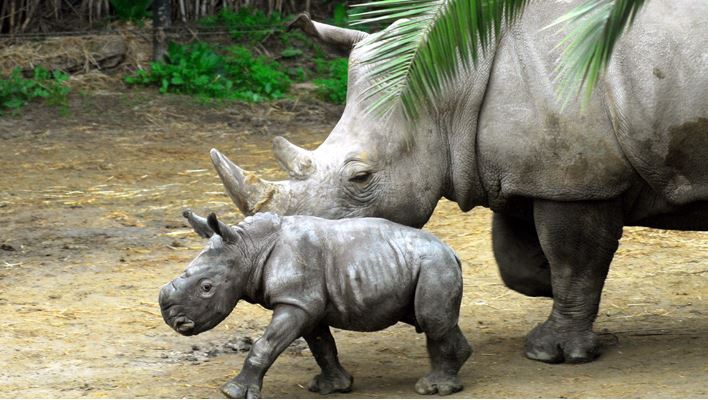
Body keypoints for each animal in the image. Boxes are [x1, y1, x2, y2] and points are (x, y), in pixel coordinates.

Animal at [160, 211, 470, 398]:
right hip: (419, 264)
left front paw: (232, 392)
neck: (249, 249)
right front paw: (332, 387)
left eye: (206, 288)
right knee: (432, 321)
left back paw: (434, 388)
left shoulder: (296, 301)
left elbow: (265, 344)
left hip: (434, 264)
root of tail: (452, 251)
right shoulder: (306, 303)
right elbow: (322, 346)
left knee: (431, 320)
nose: (173, 320)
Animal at [209, 0, 708, 364]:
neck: (452, 85)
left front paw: (553, 352)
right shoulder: (529, 172)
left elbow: (575, 261)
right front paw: (545, 284)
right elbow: (516, 260)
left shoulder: (576, 181)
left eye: (361, 177)